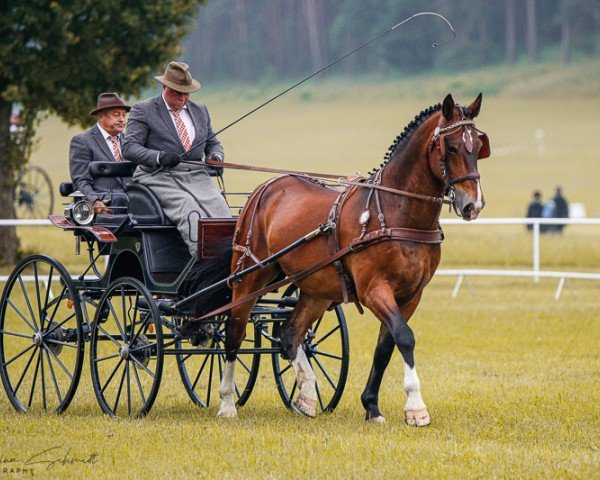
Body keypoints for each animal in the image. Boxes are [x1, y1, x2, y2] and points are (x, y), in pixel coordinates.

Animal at [214, 94, 488, 424]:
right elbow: (405, 337)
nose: (473, 204)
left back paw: (307, 396)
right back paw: (227, 402)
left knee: (290, 333)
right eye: (451, 147)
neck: (394, 211)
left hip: (316, 290)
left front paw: (371, 405)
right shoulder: (373, 290)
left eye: (479, 145)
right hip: (249, 277)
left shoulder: (412, 294)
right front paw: (415, 406)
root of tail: (265, 189)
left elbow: (386, 345)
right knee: (234, 331)